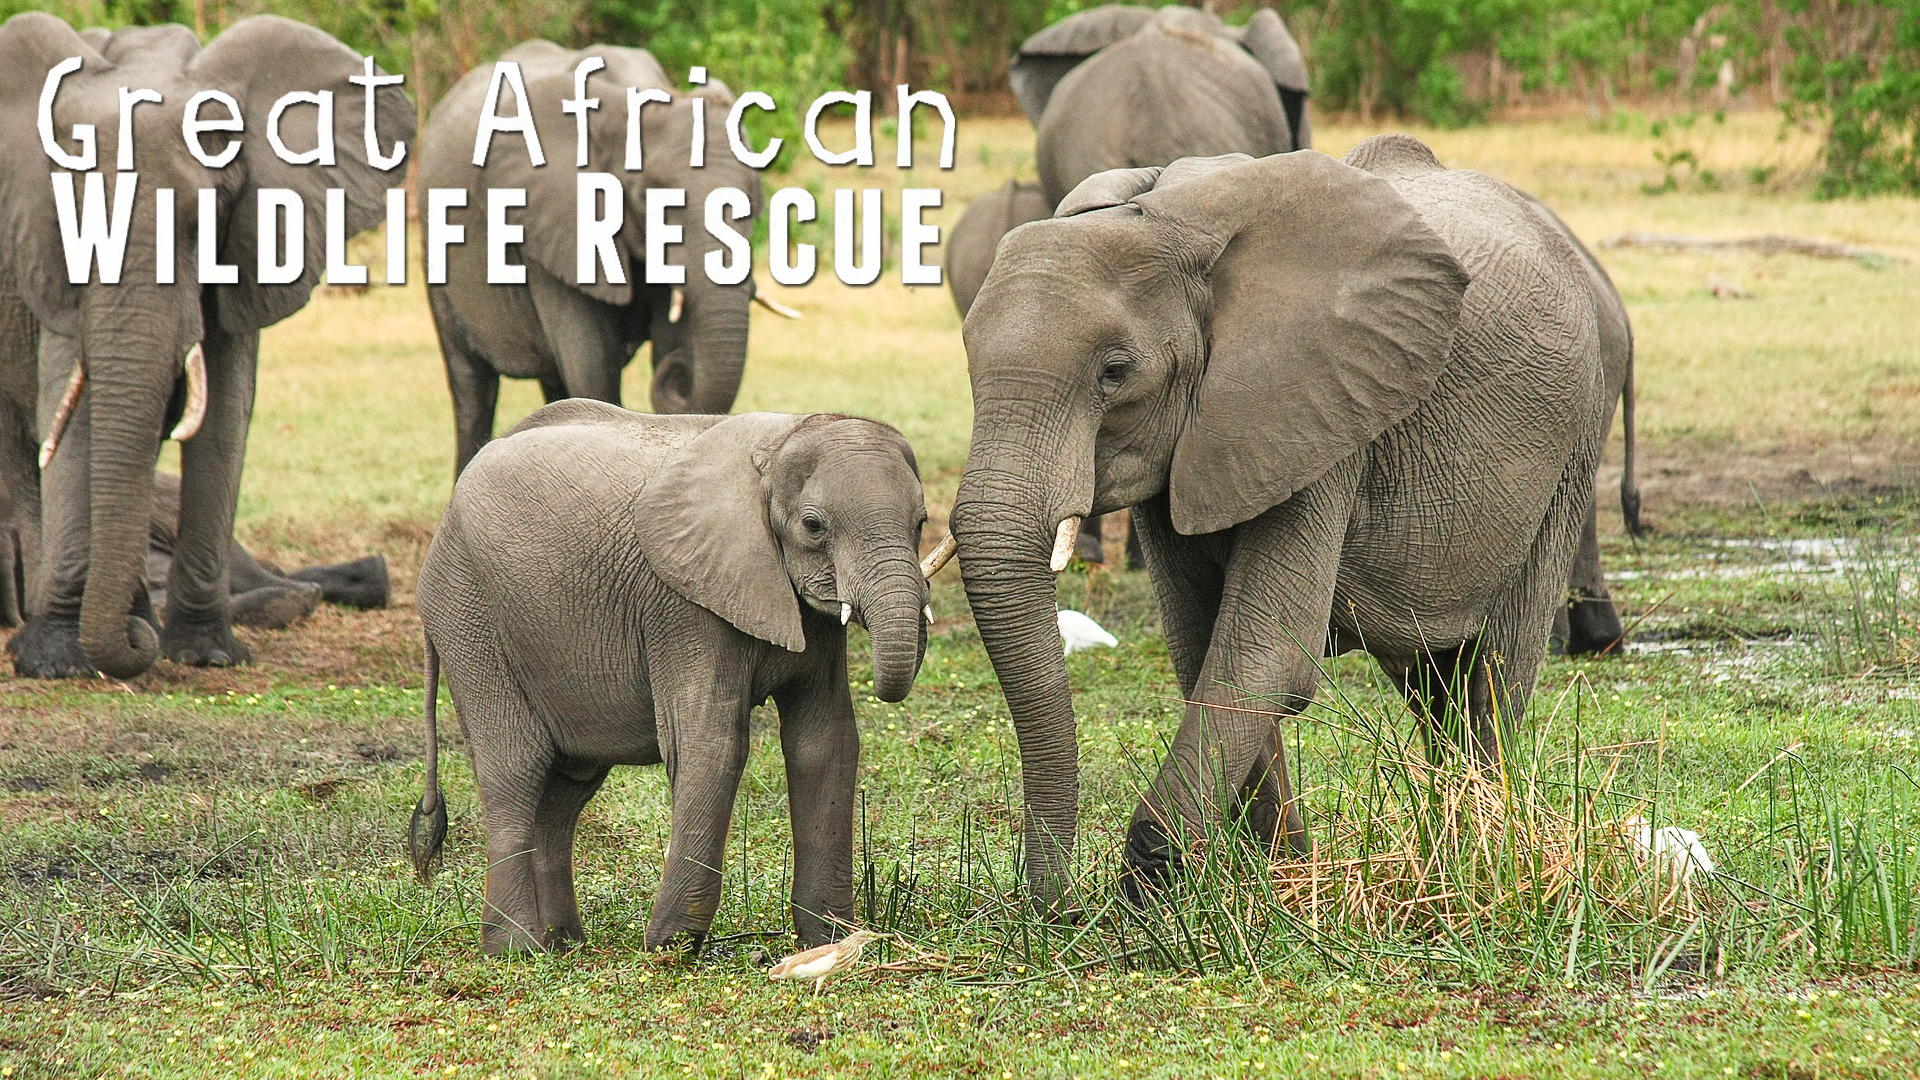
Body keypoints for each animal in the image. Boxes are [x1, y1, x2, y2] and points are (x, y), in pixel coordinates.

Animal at [0, 14, 411, 679]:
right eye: (72, 222)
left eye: (201, 222)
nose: (134, 645)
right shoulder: (48, 260)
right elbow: (74, 411)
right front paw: (56, 662)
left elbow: (224, 416)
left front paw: (207, 655)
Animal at [409, 401, 935, 954]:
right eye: (814, 526)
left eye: (921, 521)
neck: (781, 441)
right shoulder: (683, 604)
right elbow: (711, 744)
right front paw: (670, 948)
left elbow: (825, 742)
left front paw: (830, 943)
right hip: (468, 614)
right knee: (516, 768)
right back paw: (516, 950)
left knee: (567, 788)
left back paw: (564, 944)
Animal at [422, 42, 780, 478]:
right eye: (649, 198)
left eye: (755, 200)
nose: (681, 370)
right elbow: (591, 368)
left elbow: (664, 341)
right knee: (472, 388)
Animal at [940, 136, 1612, 903]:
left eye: (1114, 372)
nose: (1059, 909)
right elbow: (1203, 648)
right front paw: (1280, 880)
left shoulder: (1320, 412)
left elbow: (1264, 654)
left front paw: (1153, 890)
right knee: (1431, 683)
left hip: (1574, 442)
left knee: (1493, 670)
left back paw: (1479, 852)